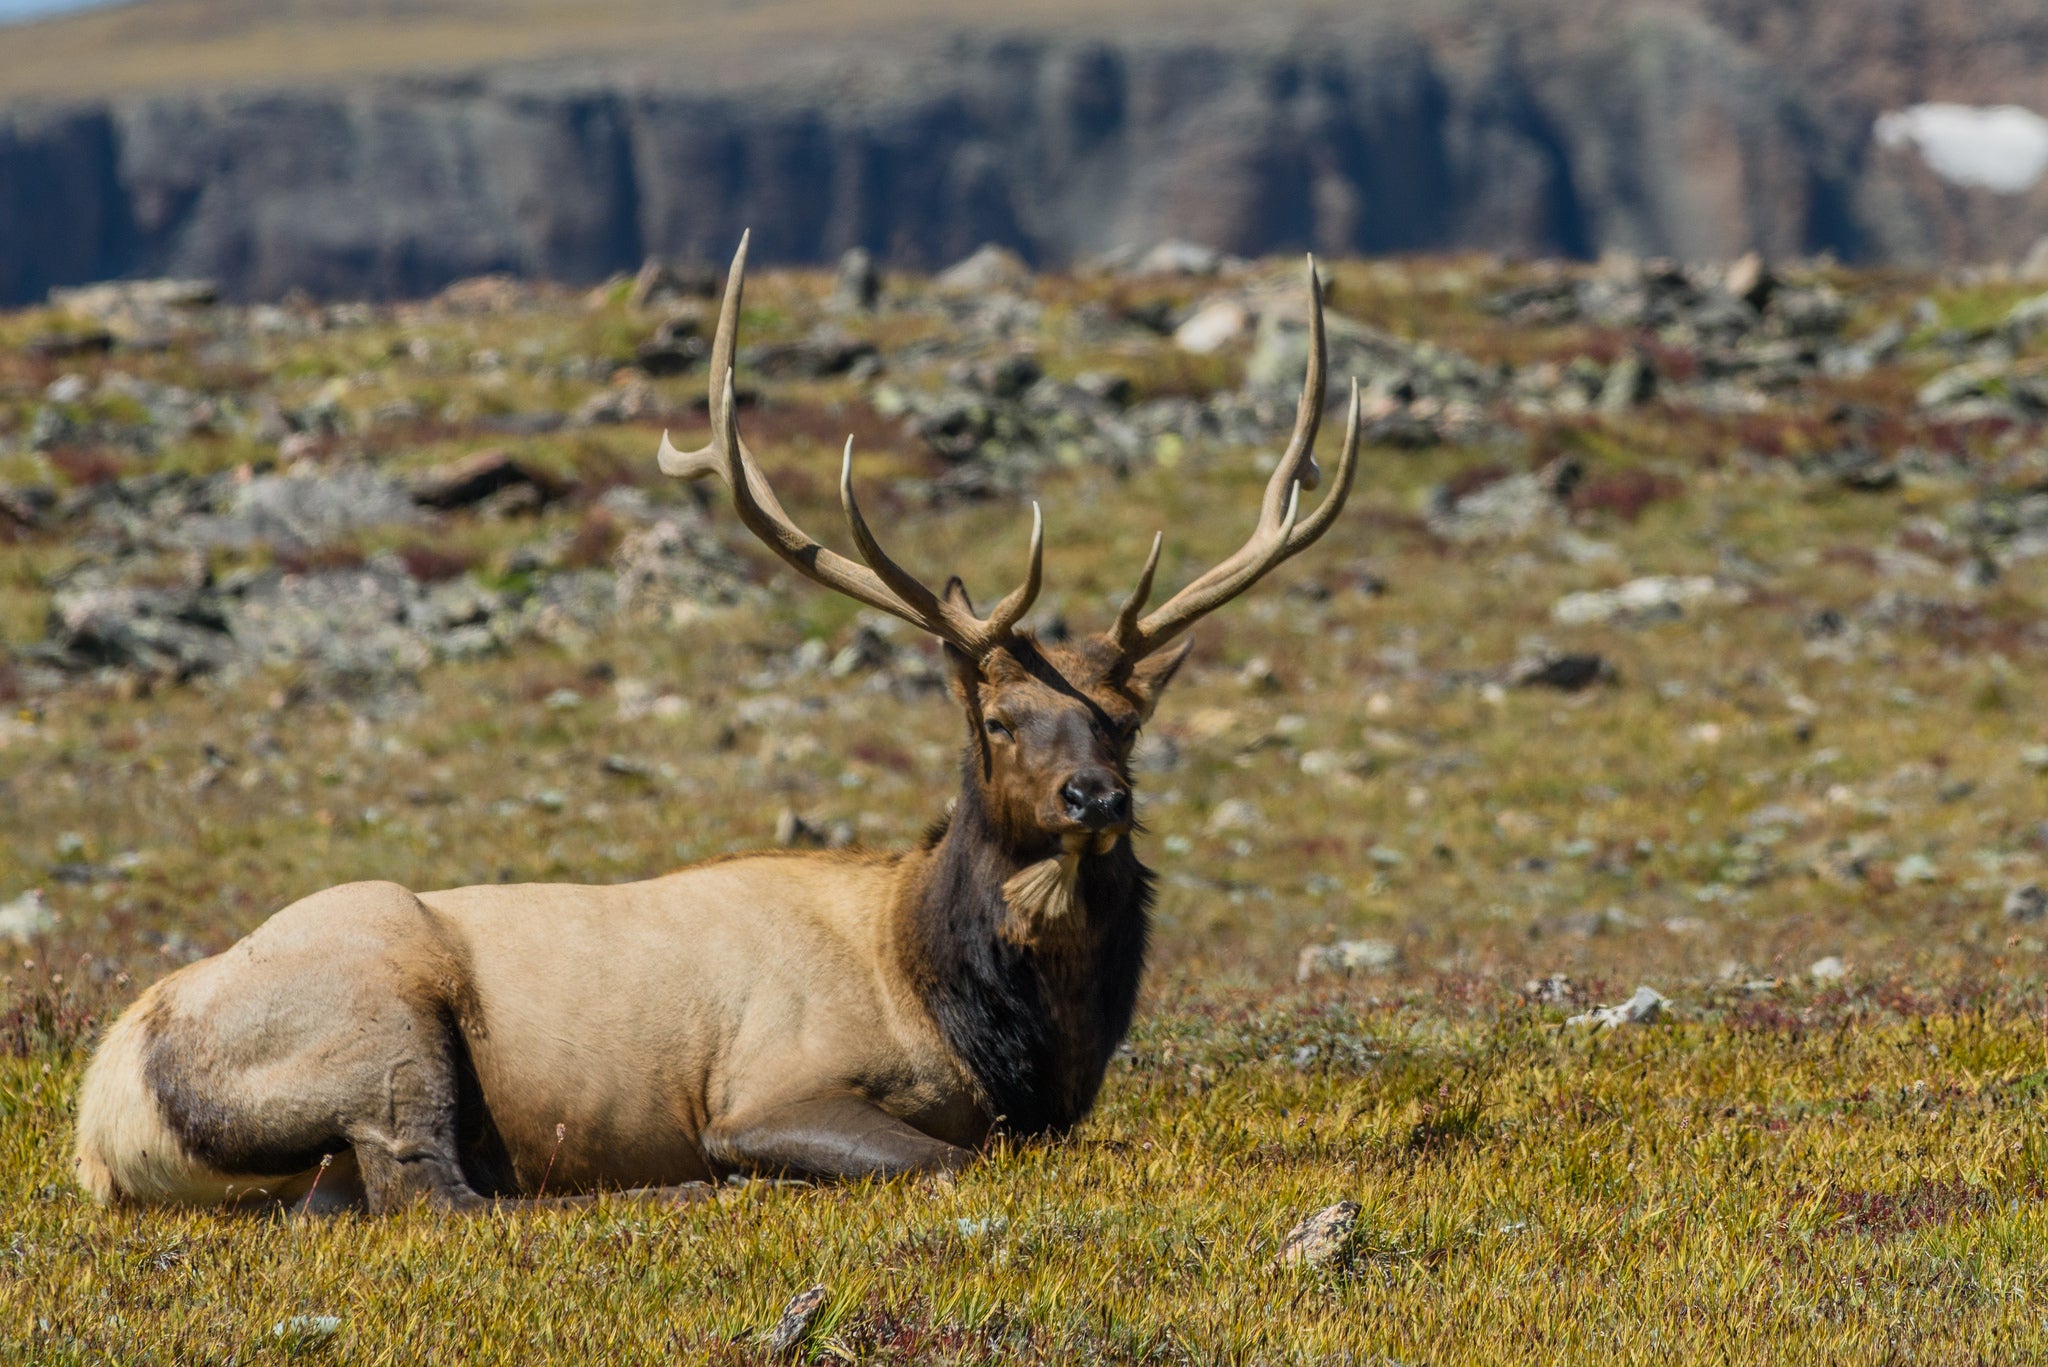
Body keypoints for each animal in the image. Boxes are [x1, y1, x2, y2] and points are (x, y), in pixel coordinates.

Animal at [72, 233, 1360, 1214]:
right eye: (997, 715)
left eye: (1128, 720)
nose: (1097, 796)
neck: (975, 1020)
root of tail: (101, 1115)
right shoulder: (766, 1086)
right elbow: (951, 1156)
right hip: (373, 1023)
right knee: (432, 1187)